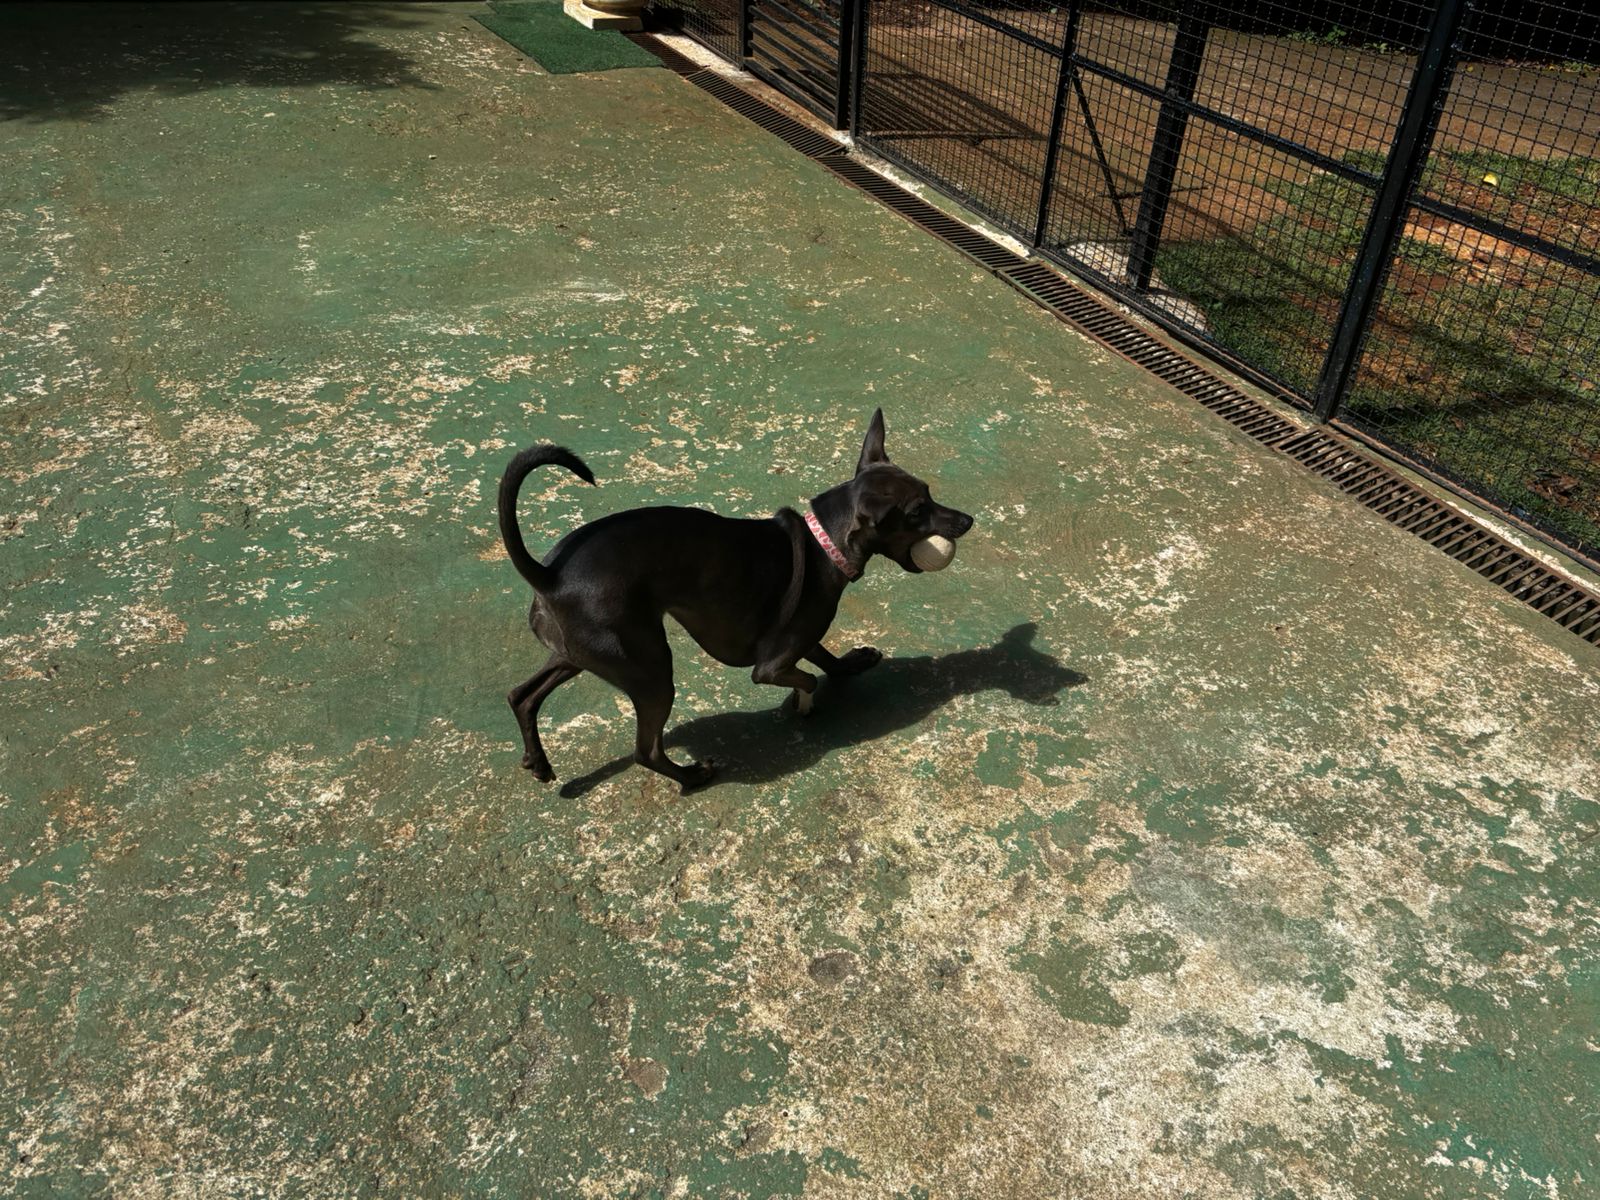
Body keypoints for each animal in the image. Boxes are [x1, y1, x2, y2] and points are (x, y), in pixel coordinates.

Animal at [497, 409, 974, 791]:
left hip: (581, 655)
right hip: (649, 670)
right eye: (917, 512)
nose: (968, 520)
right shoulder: (770, 667)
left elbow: (823, 656)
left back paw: (538, 762)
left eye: (929, 493)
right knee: (645, 751)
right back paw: (692, 776)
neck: (825, 545)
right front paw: (802, 706)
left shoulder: (799, 635)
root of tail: (550, 575)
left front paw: (851, 663)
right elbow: (807, 678)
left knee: (522, 695)